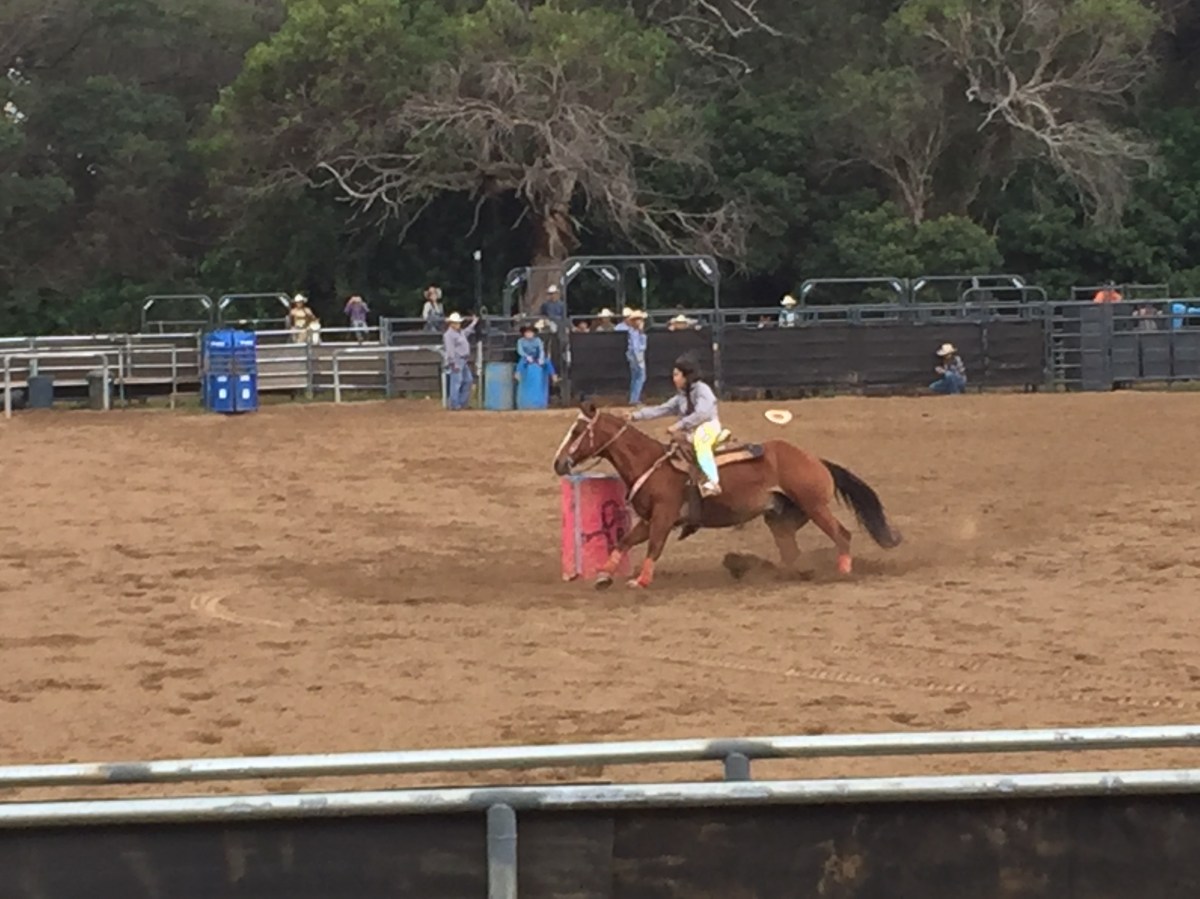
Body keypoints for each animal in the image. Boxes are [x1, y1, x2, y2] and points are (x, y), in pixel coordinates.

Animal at [552, 401, 902, 589]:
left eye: (577, 431)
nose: (558, 463)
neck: (651, 463)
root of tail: (815, 460)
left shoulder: (663, 518)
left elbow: (654, 547)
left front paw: (641, 581)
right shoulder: (649, 519)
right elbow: (623, 542)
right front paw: (603, 576)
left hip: (815, 506)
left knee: (841, 534)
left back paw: (842, 571)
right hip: (781, 517)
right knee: (791, 549)